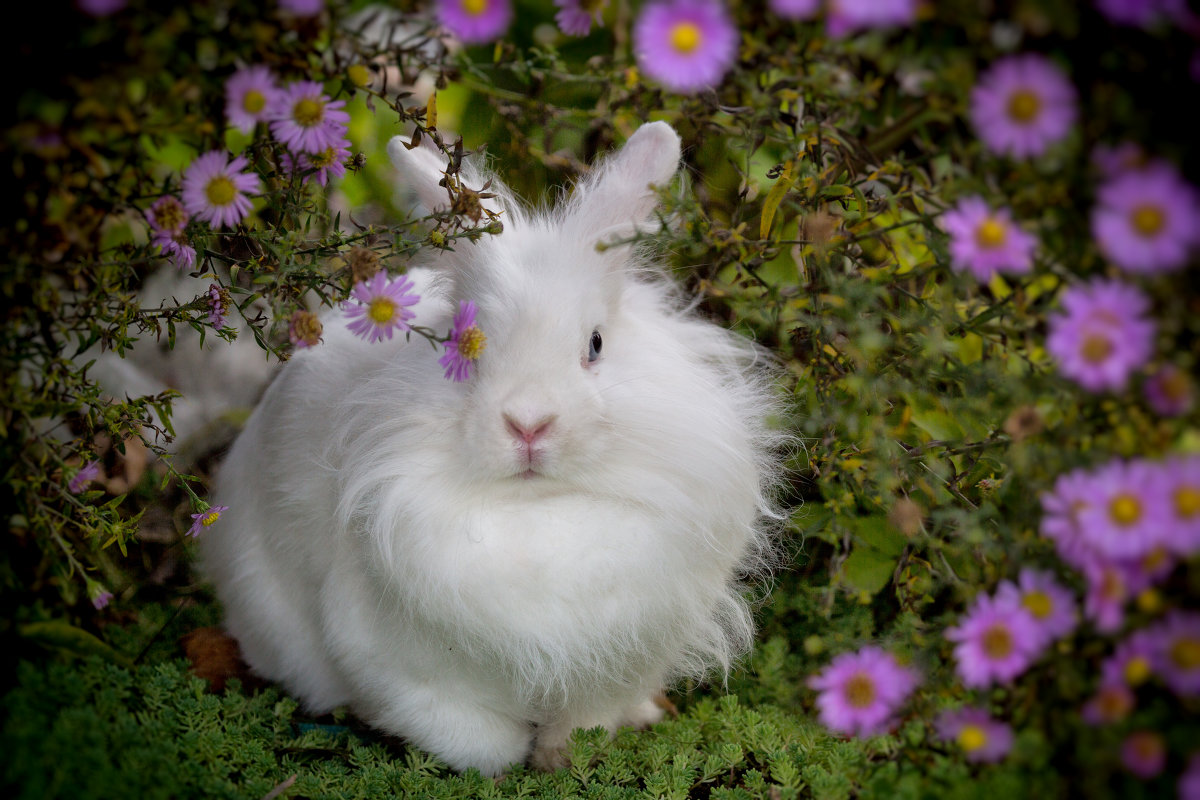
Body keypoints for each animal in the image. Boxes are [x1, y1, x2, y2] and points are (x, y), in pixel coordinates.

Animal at [199, 123, 787, 777]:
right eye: (465, 345)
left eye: (596, 343)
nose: (528, 423)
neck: (536, 513)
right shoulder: (399, 670)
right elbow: (478, 744)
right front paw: (516, 765)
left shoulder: (619, 663)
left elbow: (584, 723)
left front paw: (560, 758)